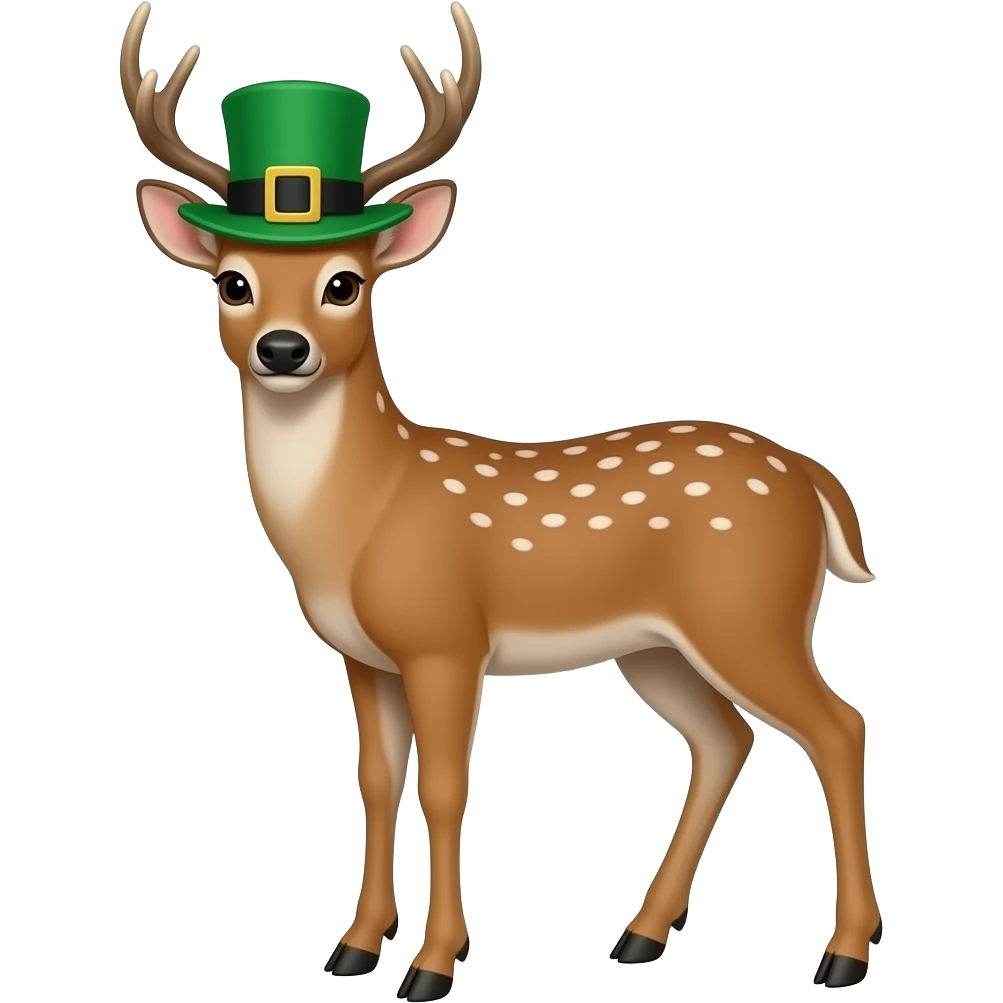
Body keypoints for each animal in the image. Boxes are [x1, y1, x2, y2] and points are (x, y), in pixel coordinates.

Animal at [120, 1, 881, 996]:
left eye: (344, 282)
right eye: (232, 281)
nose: (283, 349)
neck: (360, 516)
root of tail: (812, 478)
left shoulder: (447, 637)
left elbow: (447, 789)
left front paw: (432, 963)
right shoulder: (364, 657)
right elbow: (375, 780)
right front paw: (353, 945)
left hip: (748, 609)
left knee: (836, 725)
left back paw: (842, 952)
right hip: (657, 646)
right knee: (724, 739)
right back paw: (640, 934)